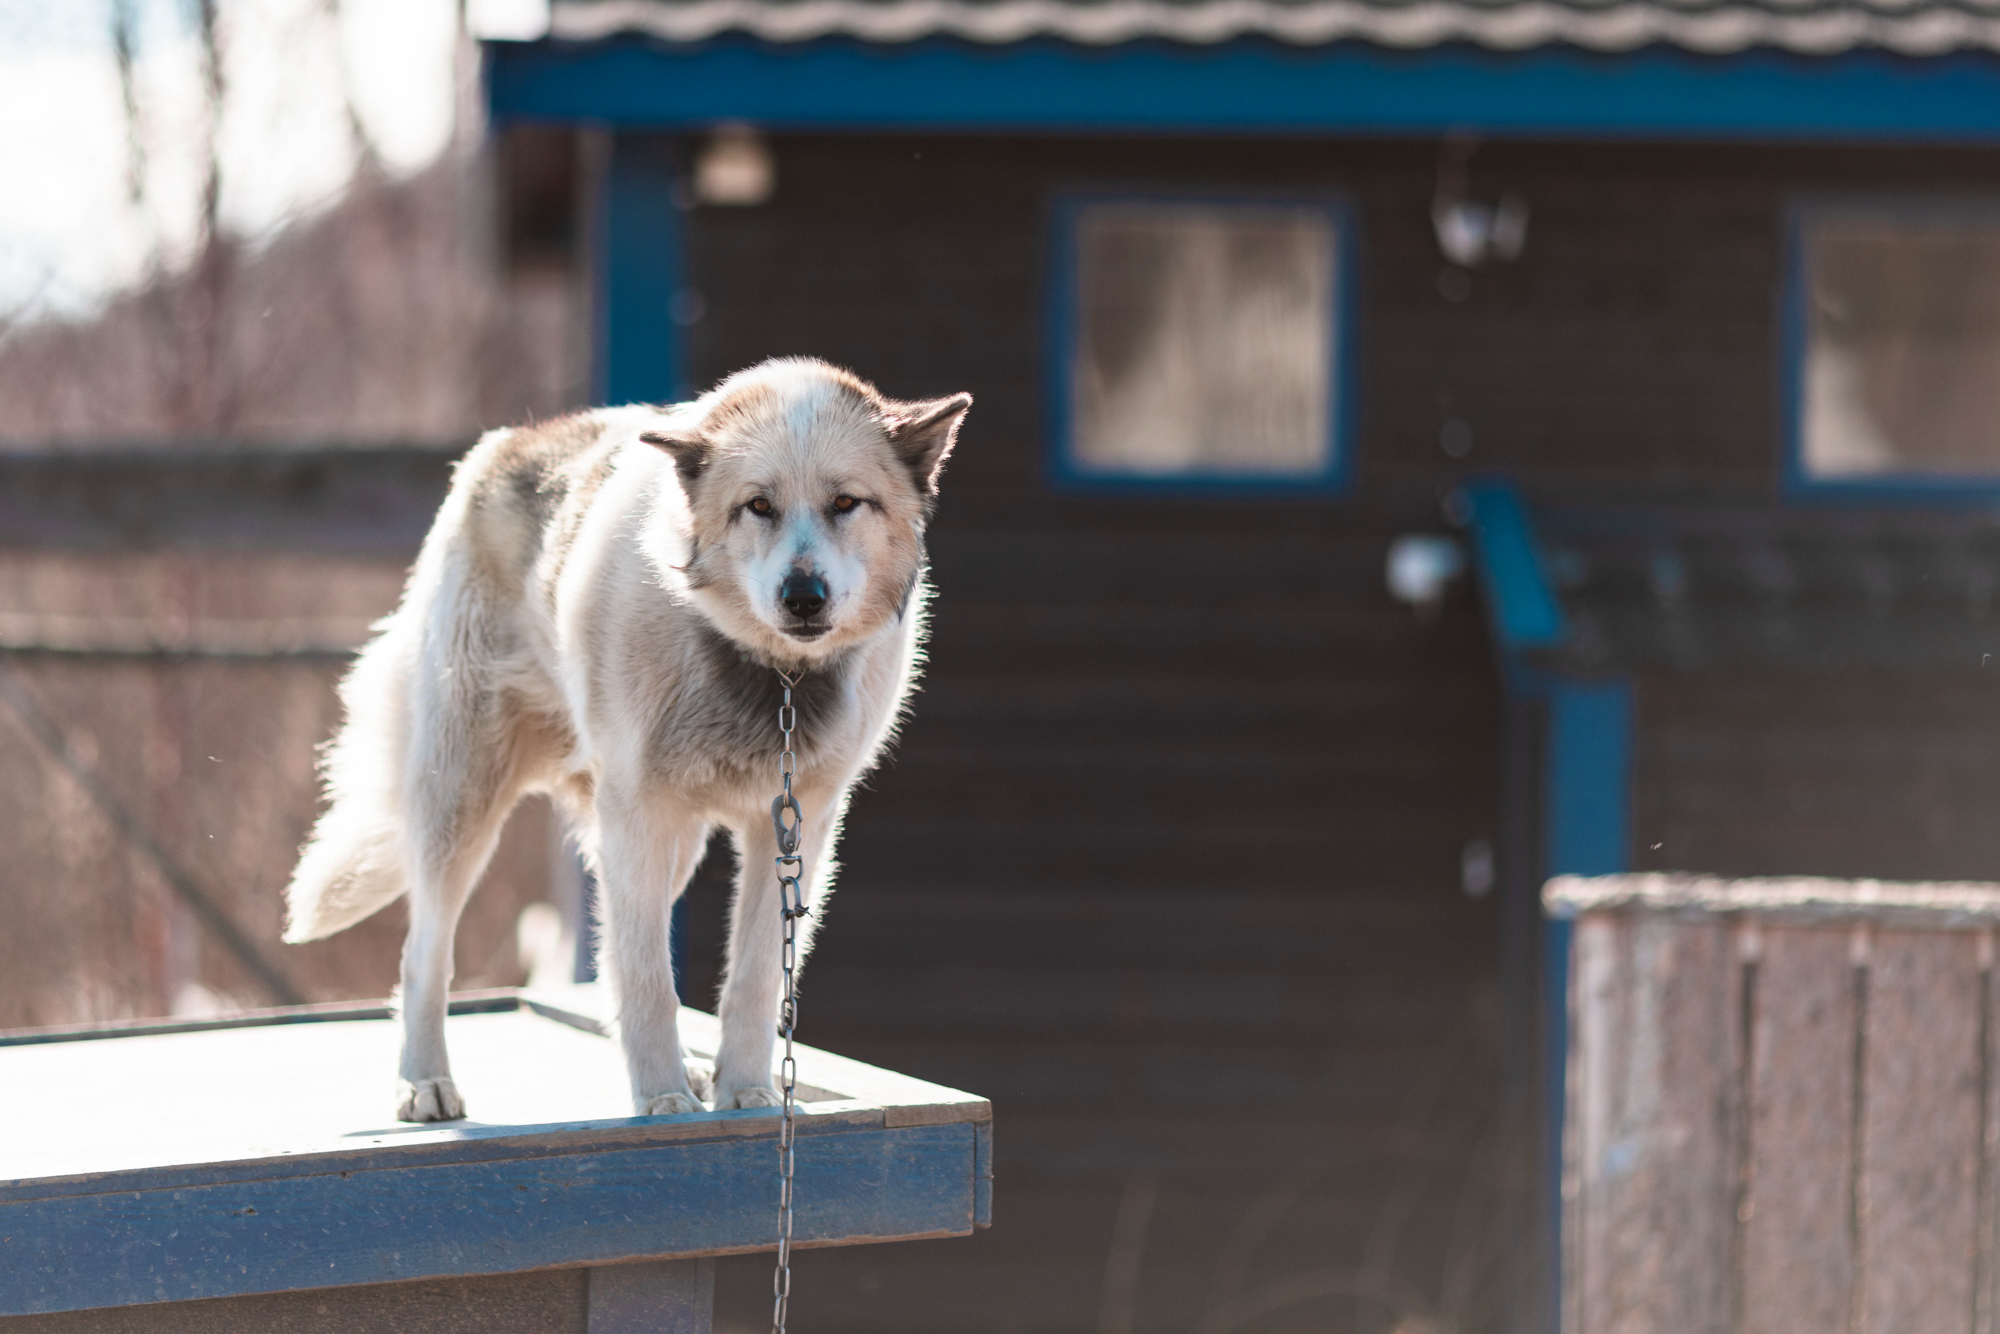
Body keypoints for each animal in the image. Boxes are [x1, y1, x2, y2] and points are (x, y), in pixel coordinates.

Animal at [280, 360, 968, 1120]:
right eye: (757, 506)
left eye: (847, 502)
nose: (803, 596)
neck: (773, 678)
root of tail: (505, 444)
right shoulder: (639, 813)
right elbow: (647, 978)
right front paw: (664, 1097)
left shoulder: (793, 825)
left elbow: (754, 978)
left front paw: (748, 1093)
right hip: (463, 807)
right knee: (426, 952)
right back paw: (425, 1082)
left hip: (668, 846)